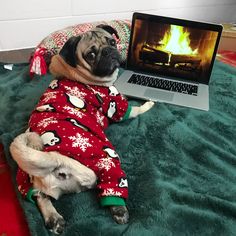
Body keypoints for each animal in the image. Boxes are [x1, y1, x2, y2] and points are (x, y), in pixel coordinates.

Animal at [10, 24, 154, 235]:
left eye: (112, 42)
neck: (72, 73)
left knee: (39, 196)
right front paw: (148, 103)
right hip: (107, 159)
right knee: (112, 185)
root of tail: (56, 160)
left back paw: (54, 219)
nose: (109, 51)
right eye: (91, 55)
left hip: (26, 178)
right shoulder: (114, 102)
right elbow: (133, 109)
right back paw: (119, 210)